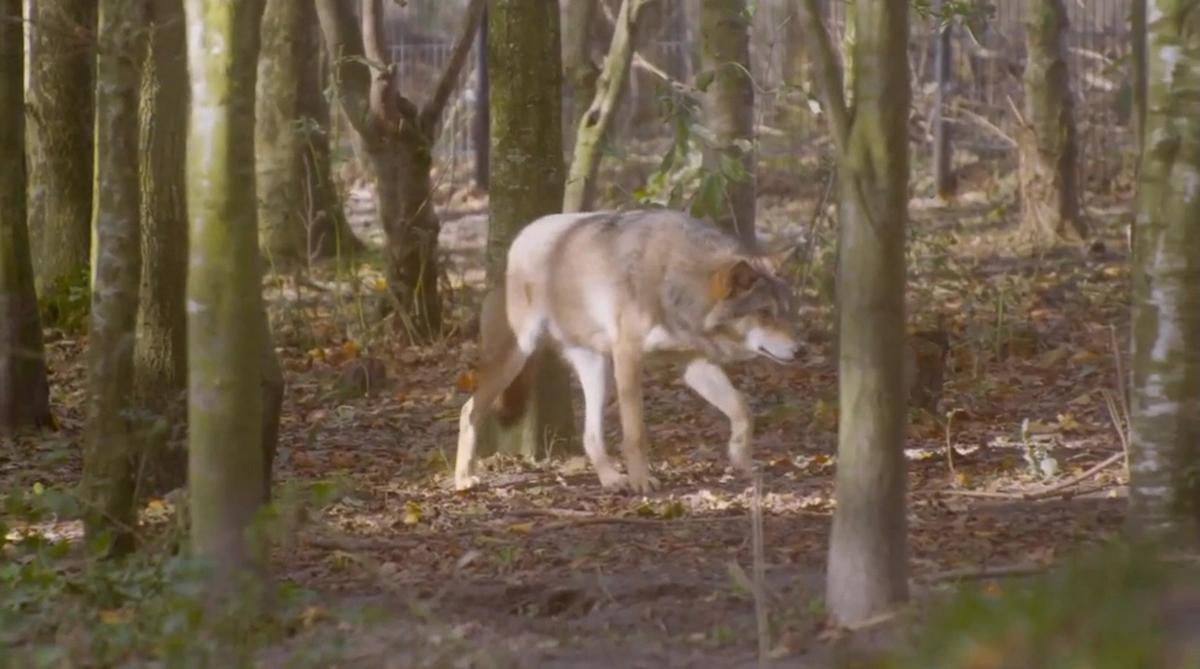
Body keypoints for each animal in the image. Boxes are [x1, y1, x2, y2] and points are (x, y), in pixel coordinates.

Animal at [453, 209, 801, 493]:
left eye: (787, 311)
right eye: (764, 313)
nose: (800, 349)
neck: (676, 283)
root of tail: (517, 240)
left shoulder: (694, 365)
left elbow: (743, 410)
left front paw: (740, 458)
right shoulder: (628, 356)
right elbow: (636, 433)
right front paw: (642, 481)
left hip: (597, 370)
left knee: (590, 436)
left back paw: (611, 480)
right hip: (518, 357)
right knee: (469, 410)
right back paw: (463, 479)